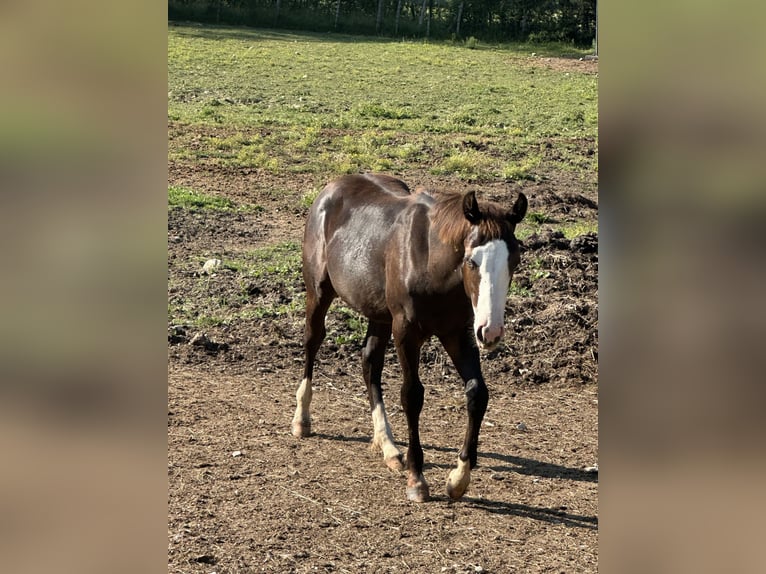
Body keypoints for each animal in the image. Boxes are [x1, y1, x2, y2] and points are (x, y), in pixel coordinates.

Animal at [291, 173, 527, 502]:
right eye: (471, 261)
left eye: (513, 261)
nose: (490, 331)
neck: (430, 263)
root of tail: (332, 188)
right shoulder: (406, 332)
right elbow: (412, 396)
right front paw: (418, 479)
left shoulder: (458, 333)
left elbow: (477, 393)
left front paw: (458, 478)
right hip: (319, 292)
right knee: (313, 341)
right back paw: (302, 420)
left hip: (379, 314)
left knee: (370, 363)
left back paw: (388, 446)